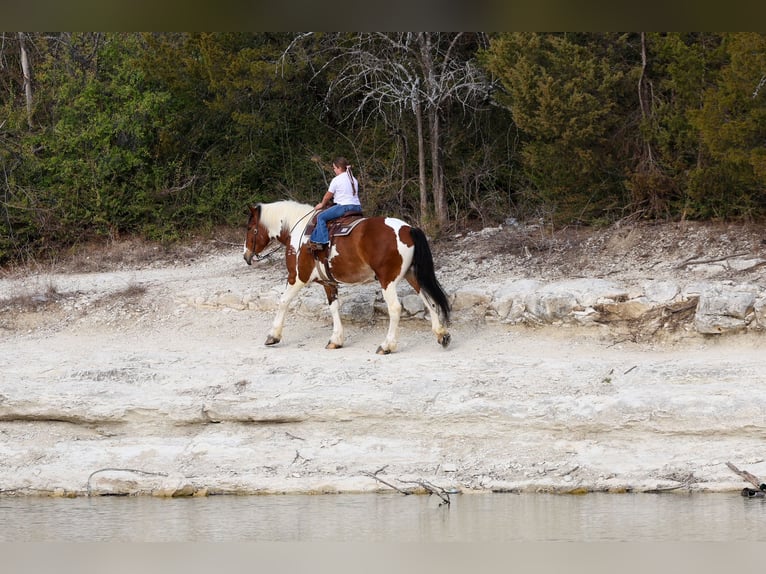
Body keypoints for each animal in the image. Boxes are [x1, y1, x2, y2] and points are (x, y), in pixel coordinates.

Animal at [243, 200, 451, 354]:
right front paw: (336, 340)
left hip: (388, 281)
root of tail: (408, 229)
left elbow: (283, 302)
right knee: (429, 301)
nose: (246, 256)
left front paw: (273, 335)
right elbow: (334, 307)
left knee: (395, 308)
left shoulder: (297, 277)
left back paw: (387, 345)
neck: (299, 231)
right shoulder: (328, 282)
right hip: (412, 276)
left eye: (250, 228)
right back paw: (442, 334)